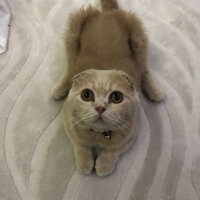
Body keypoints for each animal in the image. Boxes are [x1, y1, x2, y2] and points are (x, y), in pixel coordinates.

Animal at [50, 0, 164, 177]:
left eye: (117, 97)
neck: (98, 135)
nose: (100, 108)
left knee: (144, 69)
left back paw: (155, 92)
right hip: (72, 37)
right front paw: (85, 163)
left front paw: (104, 165)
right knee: (69, 69)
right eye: (87, 95)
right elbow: (80, 145)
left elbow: (114, 150)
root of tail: (107, 13)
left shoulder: (133, 129)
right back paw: (59, 88)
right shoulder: (68, 120)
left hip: (139, 41)